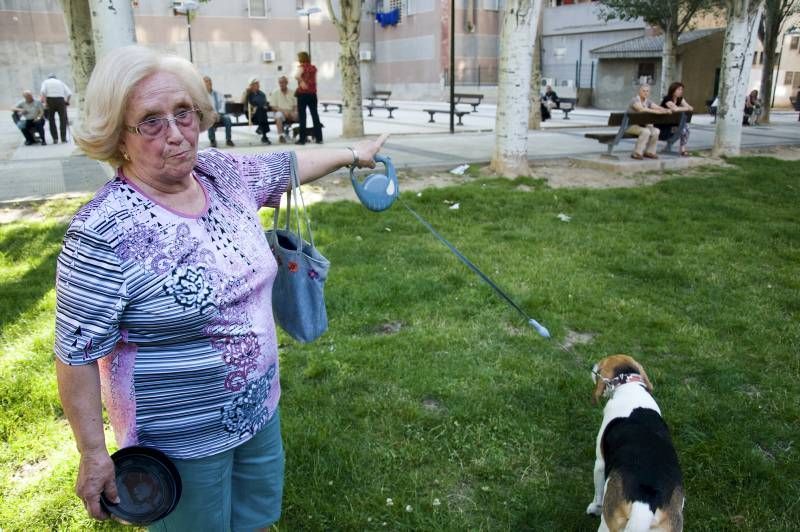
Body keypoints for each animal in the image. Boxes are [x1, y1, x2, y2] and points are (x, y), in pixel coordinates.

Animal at [584, 356, 684, 532]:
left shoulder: (600, 463)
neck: (629, 386)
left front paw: (594, 508)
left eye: (601, 365)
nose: (593, 366)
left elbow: (598, 492)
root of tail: (646, 500)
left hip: (608, 524)